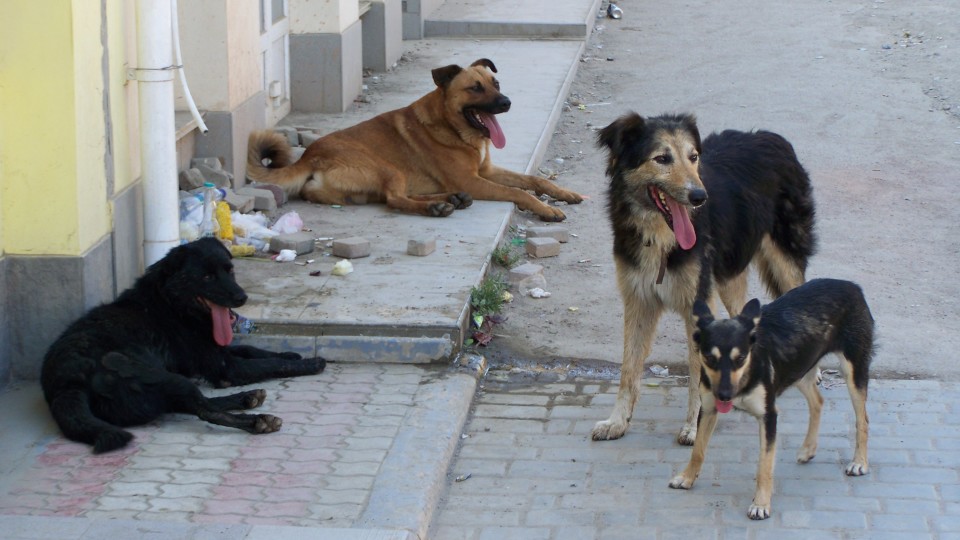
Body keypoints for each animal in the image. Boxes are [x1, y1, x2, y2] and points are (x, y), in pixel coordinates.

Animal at [42, 238, 326, 454]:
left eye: (229, 269)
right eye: (207, 276)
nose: (241, 297)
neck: (172, 304)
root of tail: (68, 383)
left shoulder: (214, 352)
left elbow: (253, 351)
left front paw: (290, 353)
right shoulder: (226, 367)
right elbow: (268, 363)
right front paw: (309, 363)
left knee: (193, 403)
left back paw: (247, 398)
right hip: (160, 376)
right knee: (204, 410)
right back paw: (257, 420)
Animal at [244, 57, 580, 221]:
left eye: (495, 83)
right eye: (475, 88)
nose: (507, 102)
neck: (452, 127)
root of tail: (309, 156)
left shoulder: (485, 172)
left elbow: (534, 180)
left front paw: (563, 192)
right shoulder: (474, 180)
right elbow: (520, 192)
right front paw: (546, 209)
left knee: (394, 197)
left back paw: (450, 200)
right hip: (387, 168)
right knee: (395, 199)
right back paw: (438, 207)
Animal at [592, 114, 816, 448]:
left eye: (693, 157)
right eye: (662, 158)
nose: (699, 197)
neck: (661, 237)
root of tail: (770, 137)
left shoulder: (698, 303)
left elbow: (697, 373)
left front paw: (694, 427)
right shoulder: (638, 300)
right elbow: (628, 370)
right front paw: (617, 421)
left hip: (784, 260)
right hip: (728, 275)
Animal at [672, 278, 872, 520]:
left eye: (740, 358)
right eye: (710, 358)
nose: (725, 395)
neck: (747, 375)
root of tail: (851, 285)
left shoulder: (768, 416)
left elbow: (764, 466)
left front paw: (760, 504)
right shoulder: (709, 409)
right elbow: (698, 451)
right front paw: (687, 477)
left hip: (853, 371)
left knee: (862, 420)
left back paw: (859, 462)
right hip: (799, 369)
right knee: (818, 401)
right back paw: (808, 449)